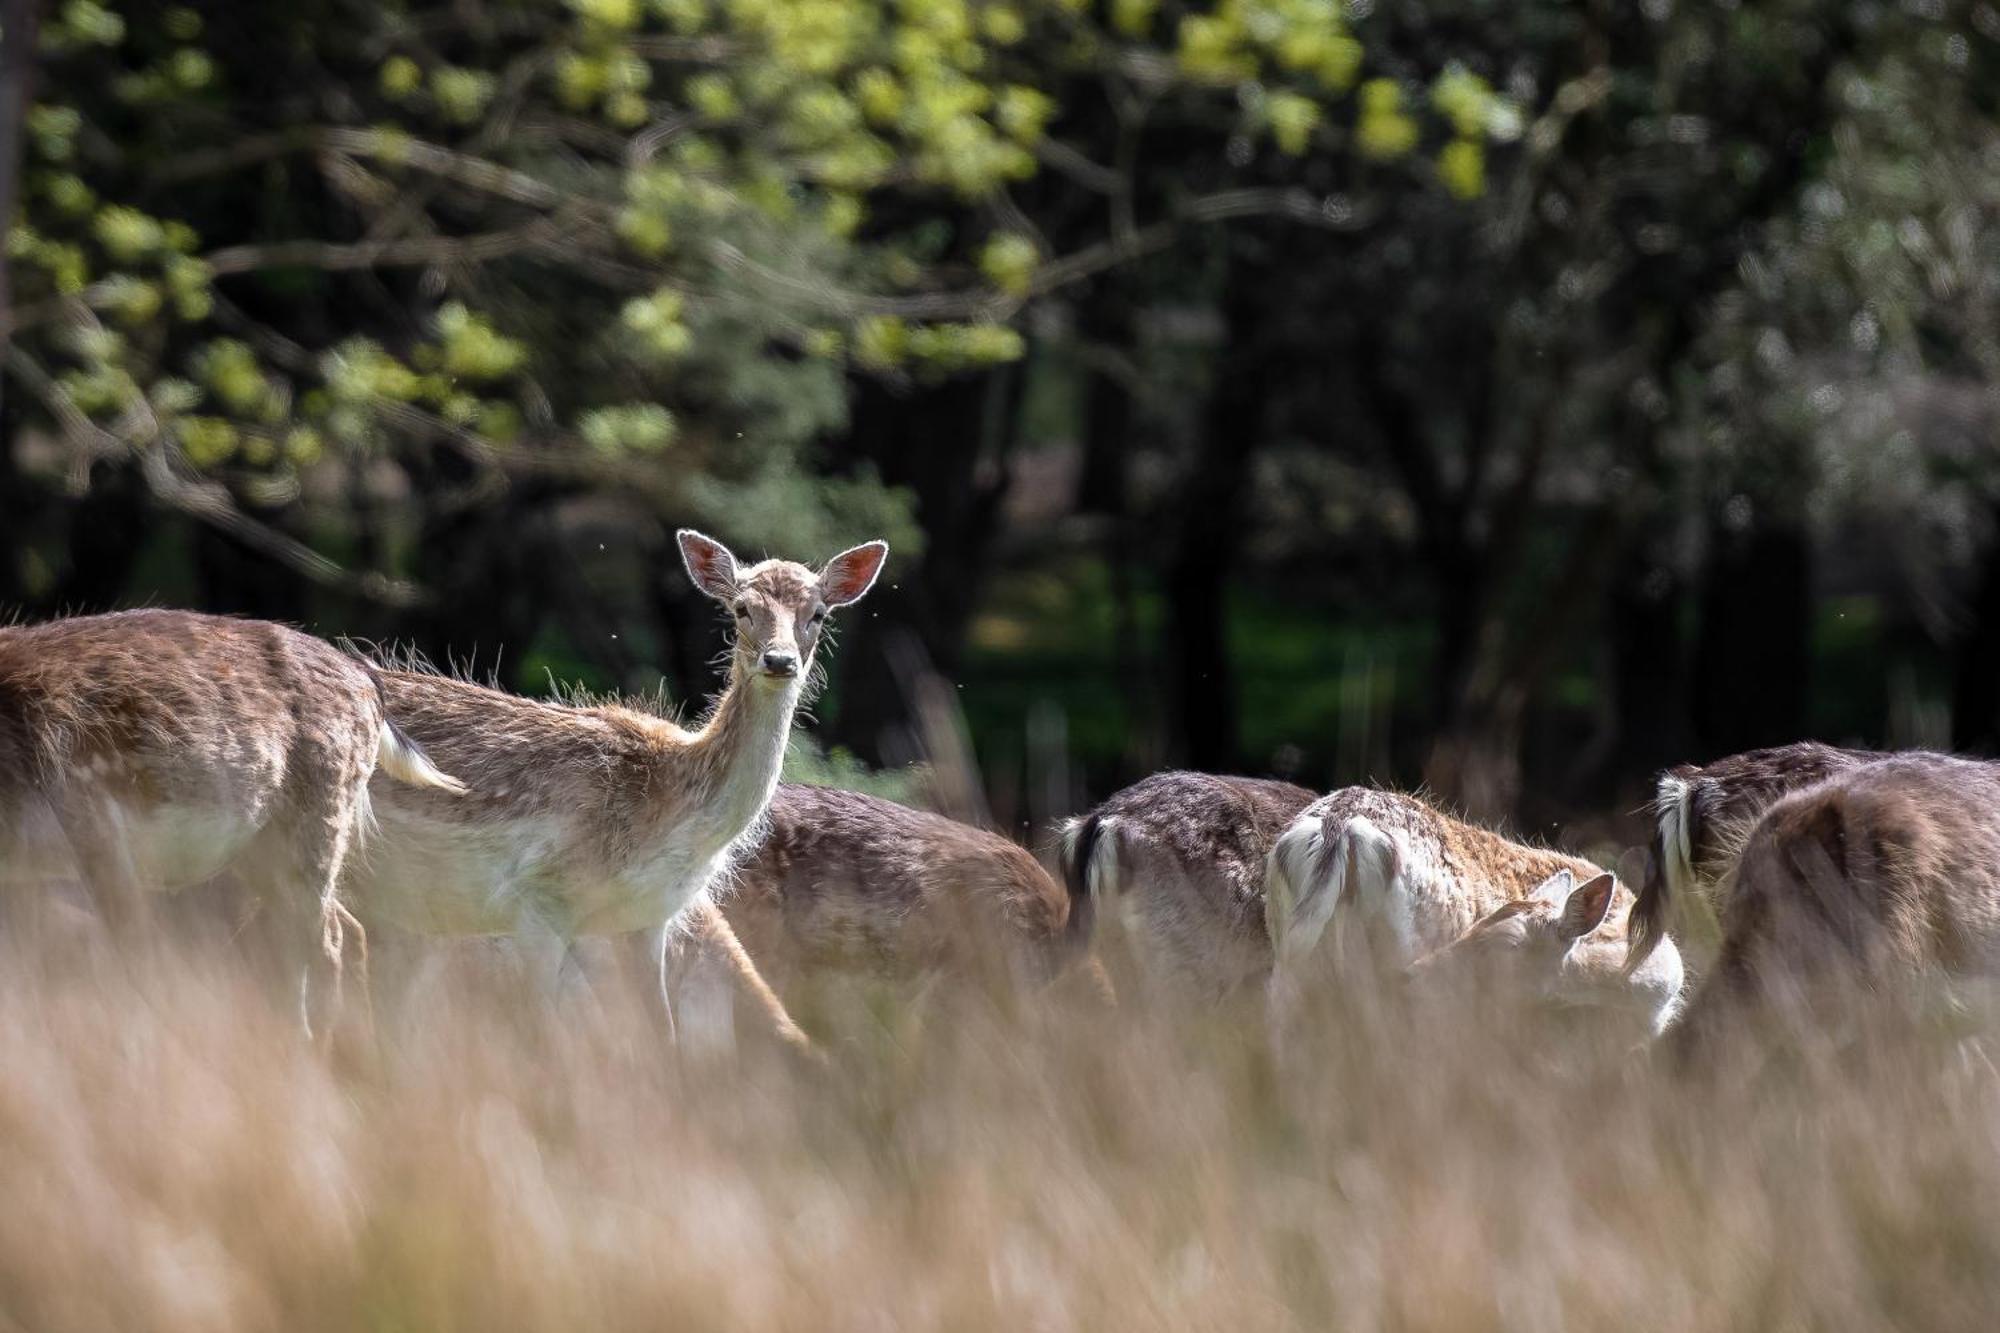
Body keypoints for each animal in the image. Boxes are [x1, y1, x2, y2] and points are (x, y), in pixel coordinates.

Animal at [0, 600, 464, 1024]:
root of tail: (367, 678)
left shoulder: (94, 821)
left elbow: (136, 955)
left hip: (321, 813)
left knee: (322, 938)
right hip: (261, 850)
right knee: (342, 926)